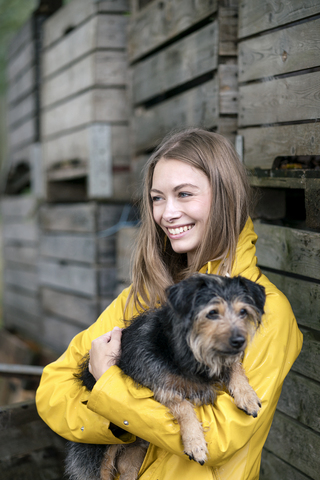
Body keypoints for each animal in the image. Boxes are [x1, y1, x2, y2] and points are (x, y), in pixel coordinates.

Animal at [65, 274, 264, 480]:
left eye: (243, 312)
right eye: (212, 313)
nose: (240, 342)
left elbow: (235, 366)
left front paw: (247, 396)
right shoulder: (160, 383)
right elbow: (183, 405)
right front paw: (195, 443)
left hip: (133, 455)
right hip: (102, 456)